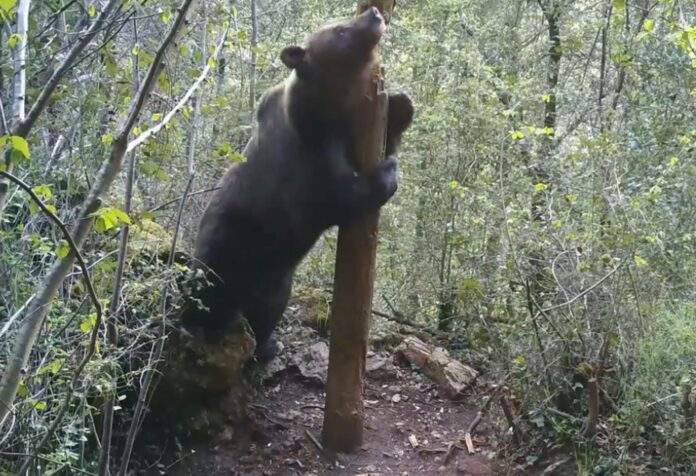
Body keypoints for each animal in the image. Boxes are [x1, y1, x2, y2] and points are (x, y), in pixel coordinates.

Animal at [181, 6, 414, 363]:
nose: (374, 13)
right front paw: (388, 172)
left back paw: (267, 345)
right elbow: (343, 195)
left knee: (267, 310)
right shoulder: (310, 157)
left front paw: (402, 106)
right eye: (340, 30)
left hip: (275, 274)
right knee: (210, 296)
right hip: (226, 250)